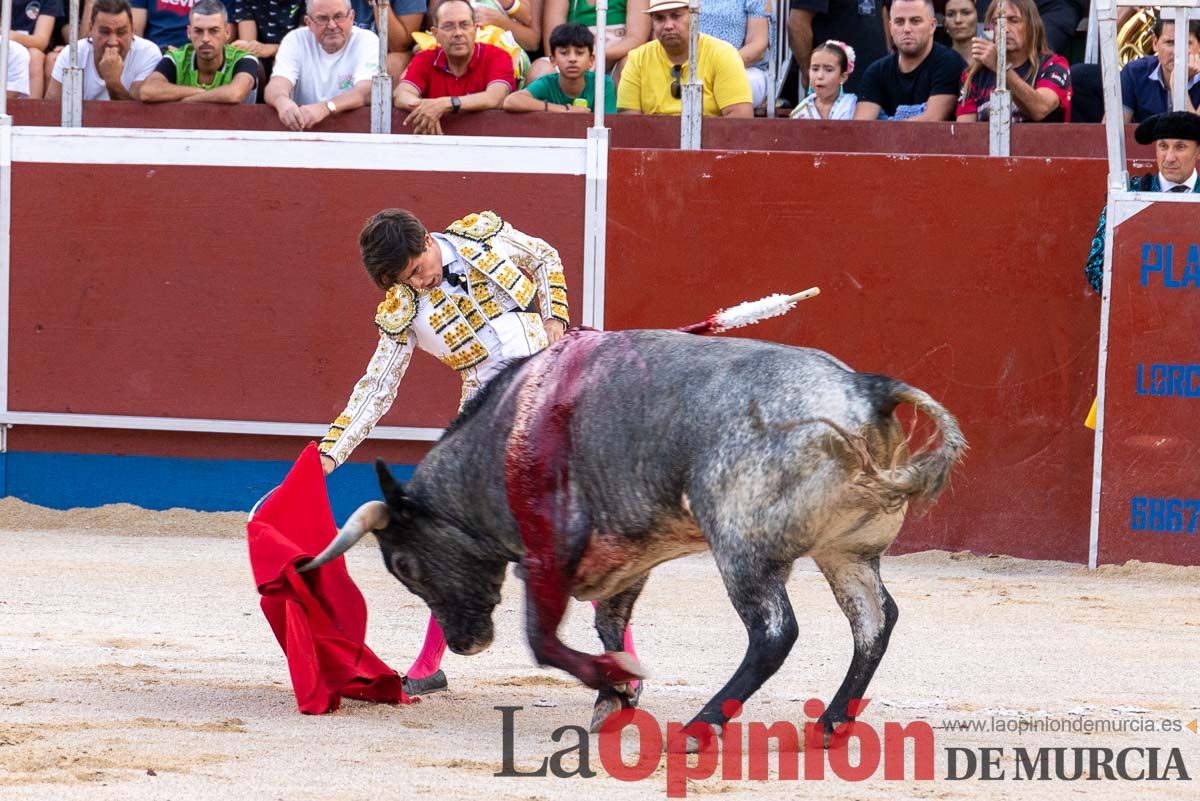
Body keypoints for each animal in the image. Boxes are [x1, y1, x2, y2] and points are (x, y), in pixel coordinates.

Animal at [300, 328, 964, 743]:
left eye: (405, 566)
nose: (468, 644)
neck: (504, 440)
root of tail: (862, 390)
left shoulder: (548, 557)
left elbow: (543, 640)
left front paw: (615, 680)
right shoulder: (625, 560)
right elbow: (608, 624)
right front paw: (615, 697)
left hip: (742, 548)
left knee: (775, 633)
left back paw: (699, 729)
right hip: (846, 551)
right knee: (873, 622)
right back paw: (828, 724)